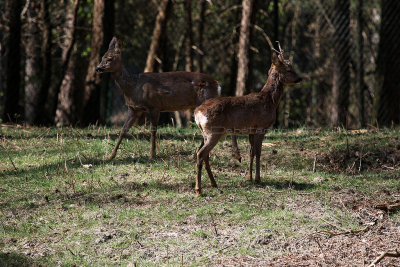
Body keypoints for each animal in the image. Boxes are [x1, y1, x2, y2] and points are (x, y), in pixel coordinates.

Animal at [97, 36, 241, 160]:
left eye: (109, 58)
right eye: (102, 57)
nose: (98, 68)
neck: (133, 87)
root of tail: (218, 85)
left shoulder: (154, 105)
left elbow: (153, 131)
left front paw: (152, 155)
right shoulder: (133, 109)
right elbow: (123, 130)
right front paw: (110, 156)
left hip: (208, 101)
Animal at [195, 45, 304, 196]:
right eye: (288, 69)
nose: (300, 78)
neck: (270, 100)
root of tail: (197, 113)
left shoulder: (251, 129)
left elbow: (251, 152)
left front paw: (249, 177)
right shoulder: (261, 127)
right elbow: (258, 152)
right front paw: (258, 178)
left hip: (207, 133)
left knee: (204, 154)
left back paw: (214, 183)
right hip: (214, 132)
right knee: (200, 154)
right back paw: (199, 190)